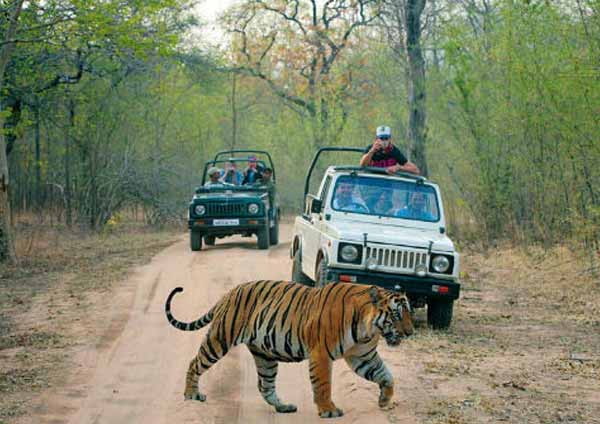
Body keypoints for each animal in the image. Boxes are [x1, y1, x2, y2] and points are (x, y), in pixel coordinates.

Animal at [166, 278, 414, 418]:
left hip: (265, 355)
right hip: (220, 339)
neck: (367, 329)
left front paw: (384, 400)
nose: (411, 332)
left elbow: (386, 375)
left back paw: (284, 407)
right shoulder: (321, 354)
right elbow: (323, 384)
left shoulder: (363, 357)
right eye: (396, 315)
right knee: (195, 362)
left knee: (264, 385)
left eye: (409, 312)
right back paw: (191, 394)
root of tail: (230, 292)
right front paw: (328, 410)